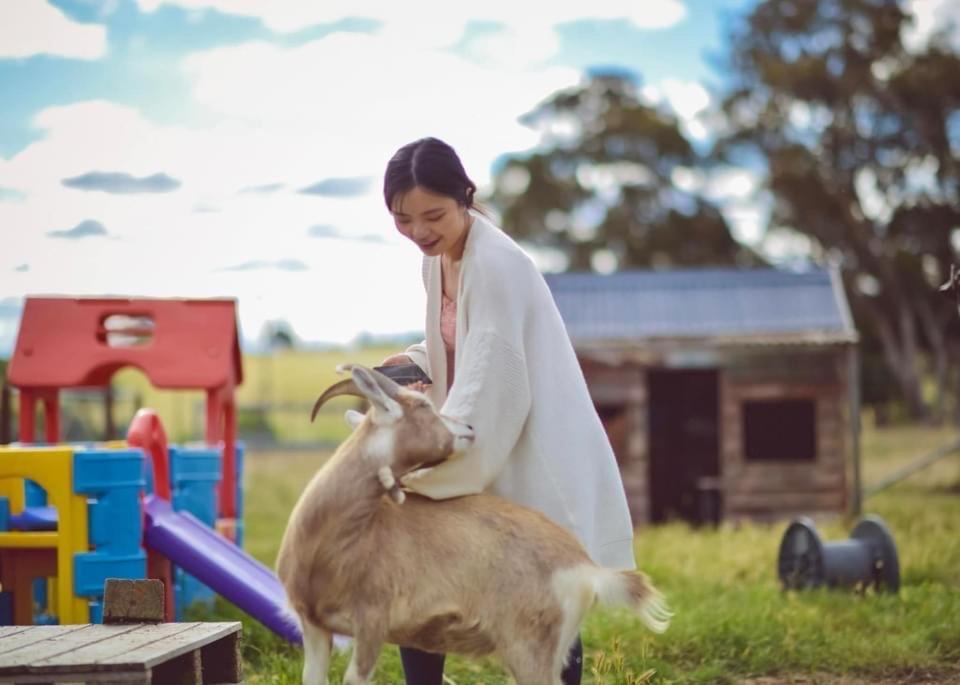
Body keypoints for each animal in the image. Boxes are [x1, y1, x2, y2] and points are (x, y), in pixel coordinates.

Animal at [274, 366, 672, 684]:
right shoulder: (315, 628)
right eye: (423, 406)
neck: (337, 539)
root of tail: (586, 567)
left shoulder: (371, 627)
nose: (467, 428)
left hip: (530, 650)